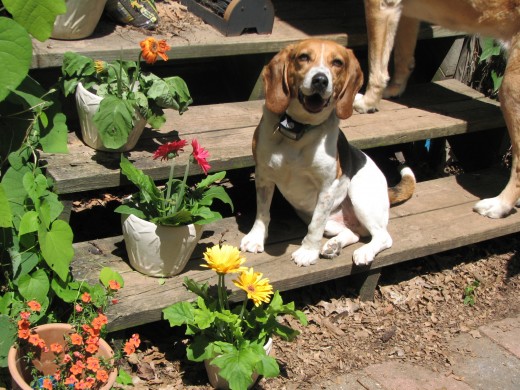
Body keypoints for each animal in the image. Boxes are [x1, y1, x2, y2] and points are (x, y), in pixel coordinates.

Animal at [242, 38, 416, 266]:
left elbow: (314, 226)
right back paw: (334, 245)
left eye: (337, 62)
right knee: (354, 232)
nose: (320, 80)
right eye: (303, 57)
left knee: (382, 236)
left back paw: (365, 252)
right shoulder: (263, 175)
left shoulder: (326, 189)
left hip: (359, 194)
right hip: (331, 222)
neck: (299, 130)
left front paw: (307, 252)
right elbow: (262, 212)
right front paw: (256, 238)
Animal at [356, 0, 520, 219]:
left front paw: (368, 101)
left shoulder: (380, 6)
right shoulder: (407, 12)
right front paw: (394, 89)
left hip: (510, 88)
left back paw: (499, 205)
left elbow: (376, 61)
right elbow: (402, 55)